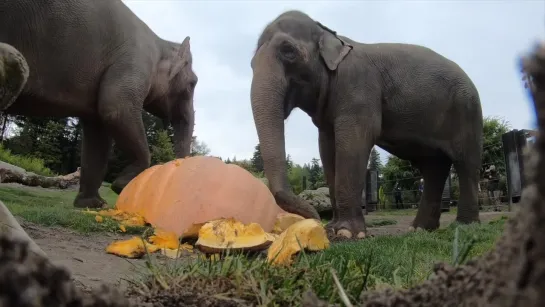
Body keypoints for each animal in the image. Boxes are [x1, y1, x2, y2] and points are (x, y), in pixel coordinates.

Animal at [0, 0, 198, 209]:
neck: (161, 42)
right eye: (193, 83)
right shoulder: (133, 64)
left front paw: (93, 204)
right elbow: (116, 110)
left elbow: (99, 135)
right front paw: (121, 186)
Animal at [249, 10, 482, 241]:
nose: (316, 219)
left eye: (288, 51)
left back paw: (465, 226)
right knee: (434, 167)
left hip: (467, 111)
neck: (332, 36)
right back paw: (420, 229)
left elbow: (353, 143)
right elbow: (327, 150)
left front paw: (346, 233)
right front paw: (333, 229)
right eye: (251, 64)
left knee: (466, 164)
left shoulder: (358, 91)